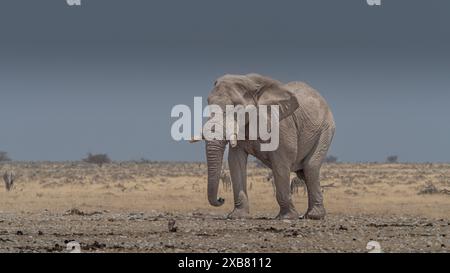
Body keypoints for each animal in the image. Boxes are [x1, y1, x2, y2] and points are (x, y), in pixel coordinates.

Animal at [197, 74, 334, 219]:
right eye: (208, 102)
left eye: (236, 107)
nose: (221, 199)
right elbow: (235, 161)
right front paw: (237, 216)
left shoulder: (281, 124)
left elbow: (281, 162)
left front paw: (287, 217)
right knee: (303, 173)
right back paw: (309, 214)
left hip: (325, 129)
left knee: (310, 168)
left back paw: (314, 216)